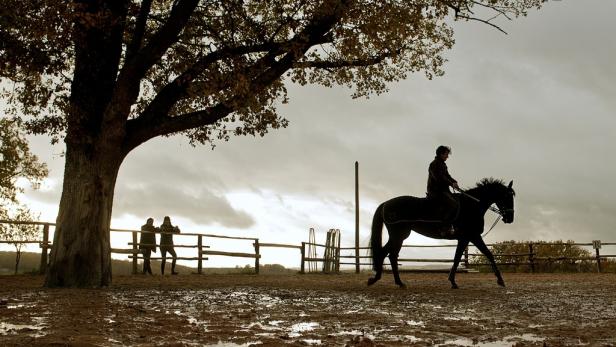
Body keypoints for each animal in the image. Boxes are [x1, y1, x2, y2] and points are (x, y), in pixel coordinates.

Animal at [366, 178, 516, 290]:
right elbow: (489, 254)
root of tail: (386, 203)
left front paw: (453, 281)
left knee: (390, 255)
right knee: (385, 253)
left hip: (399, 236)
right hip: (398, 235)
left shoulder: (465, 239)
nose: (510, 218)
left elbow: (457, 258)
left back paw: (397, 282)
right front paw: (501, 280)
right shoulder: (473, 236)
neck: (471, 206)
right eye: (507, 196)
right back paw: (377, 279)